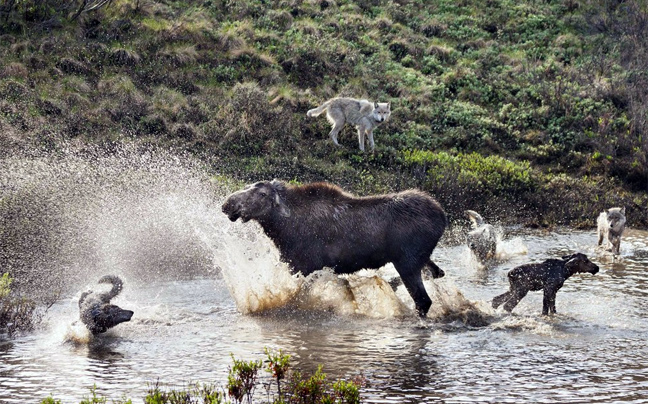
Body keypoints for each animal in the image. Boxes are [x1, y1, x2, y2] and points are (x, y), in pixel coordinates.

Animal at [220, 180, 448, 316]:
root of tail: (442, 215)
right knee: (437, 274)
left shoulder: (305, 267)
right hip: (419, 259)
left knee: (423, 300)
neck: (282, 229)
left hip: (407, 261)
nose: (228, 203)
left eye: (262, 194)